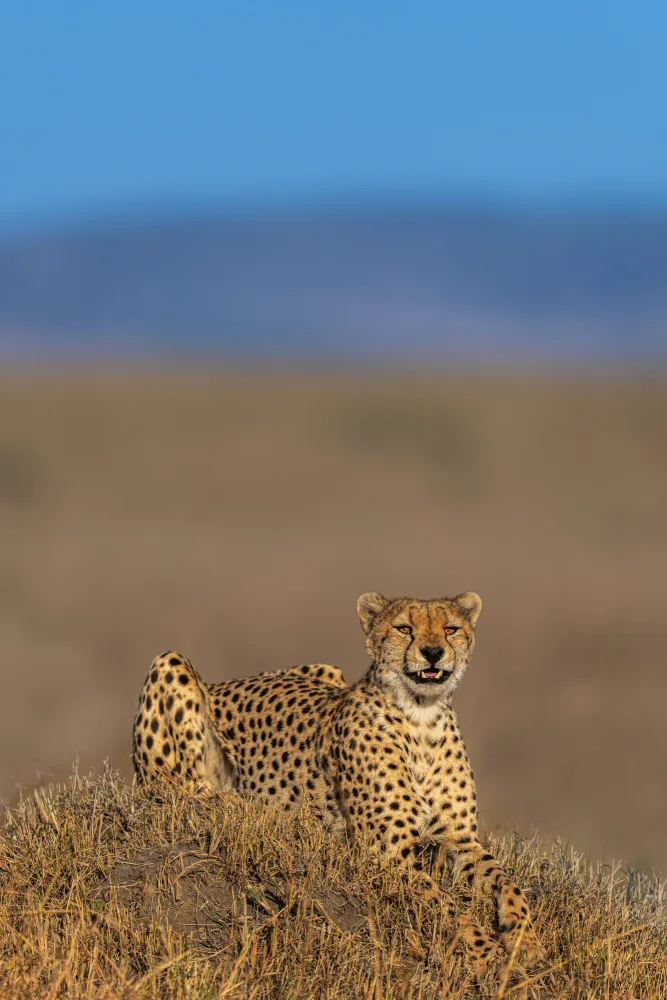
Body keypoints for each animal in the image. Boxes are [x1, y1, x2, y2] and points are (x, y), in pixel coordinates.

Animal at [132, 592, 544, 978]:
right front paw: (491, 956)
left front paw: (525, 939)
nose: (433, 652)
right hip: (170, 666)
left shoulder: (460, 839)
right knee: (177, 791)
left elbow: (507, 881)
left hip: (326, 669)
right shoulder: (388, 851)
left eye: (450, 629)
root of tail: (225, 682)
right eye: (404, 628)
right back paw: (241, 804)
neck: (421, 717)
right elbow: (448, 905)